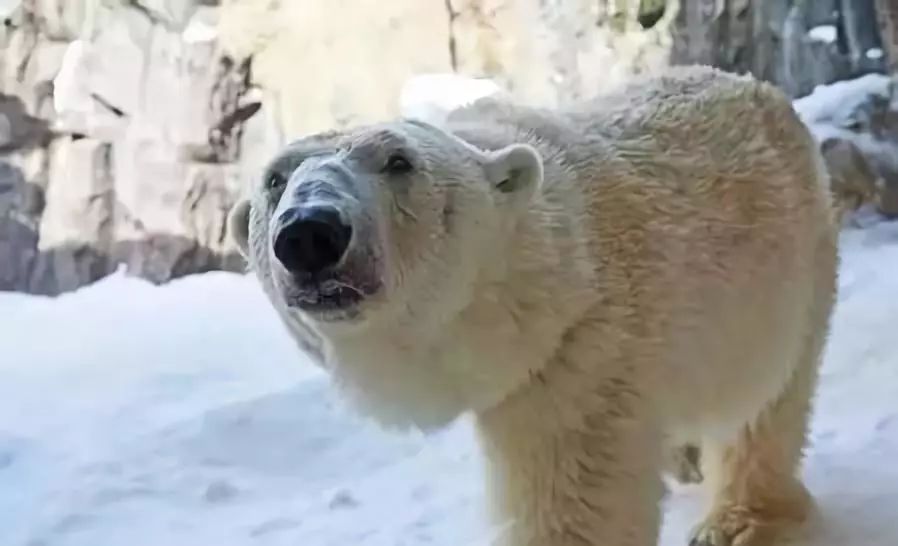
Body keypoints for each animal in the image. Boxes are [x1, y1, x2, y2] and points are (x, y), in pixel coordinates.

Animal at [228, 67, 836, 544]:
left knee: (764, 400)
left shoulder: (579, 358)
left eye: (399, 161)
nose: (310, 233)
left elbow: (574, 503)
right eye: (275, 179)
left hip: (786, 268)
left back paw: (739, 520)